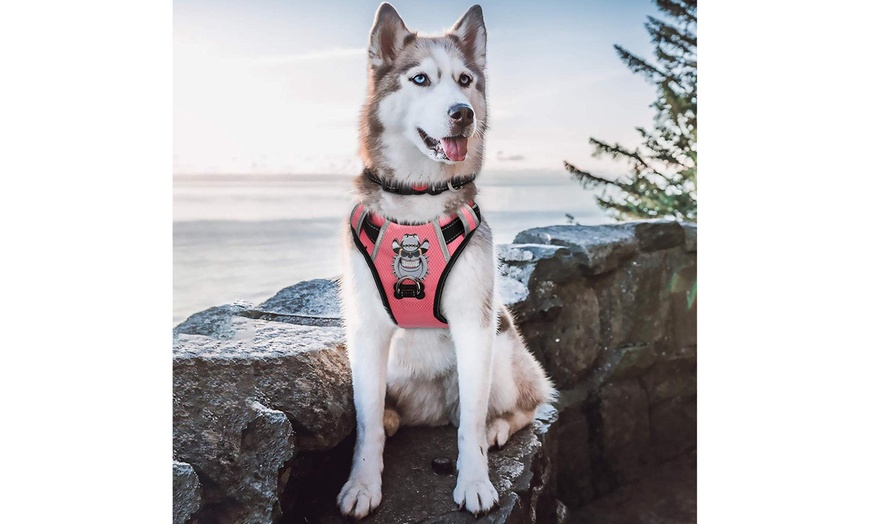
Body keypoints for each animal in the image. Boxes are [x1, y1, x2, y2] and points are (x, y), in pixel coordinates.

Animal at [338, 4, 556, 516]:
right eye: (420, 79)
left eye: (465, 80)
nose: (463, 113)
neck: (418, 199)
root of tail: (433, 411)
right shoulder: (366, 331)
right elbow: (366, 422)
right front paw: (363, 483)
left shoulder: (474, 324)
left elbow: (471, 424)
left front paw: (474, 480)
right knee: (389, 413)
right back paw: (394, 418)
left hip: (502, 353)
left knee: (526, 404)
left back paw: (499, 426)